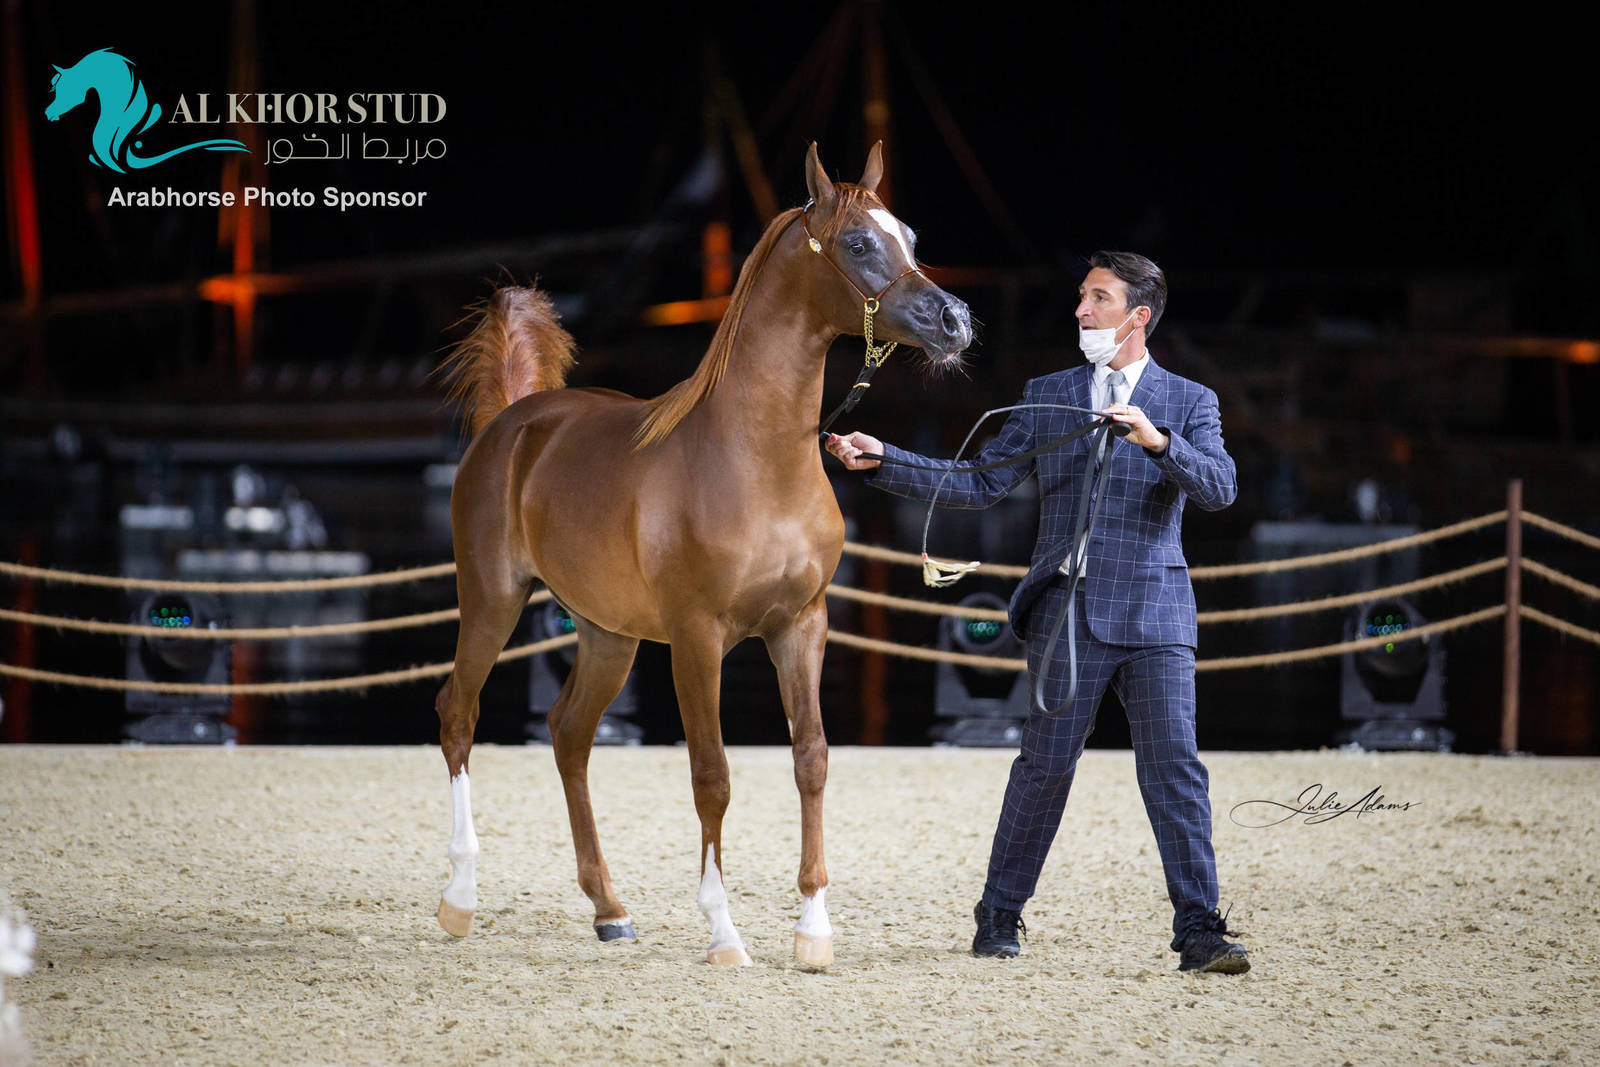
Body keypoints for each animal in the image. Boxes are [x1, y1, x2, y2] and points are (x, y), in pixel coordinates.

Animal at [433, 143, 972, 967]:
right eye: (856, 243)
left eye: (909, 234)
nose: (954, 320)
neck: (756, 459)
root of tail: (515, 421)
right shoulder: (696, 638)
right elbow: (711, 775)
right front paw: (725, 933)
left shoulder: (801, 625)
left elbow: (812, 757)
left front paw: (813, 928)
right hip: (492, 598)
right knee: (459, 715)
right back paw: (460, 899)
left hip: (607, 633)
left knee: (568, 734)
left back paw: (610, 909)